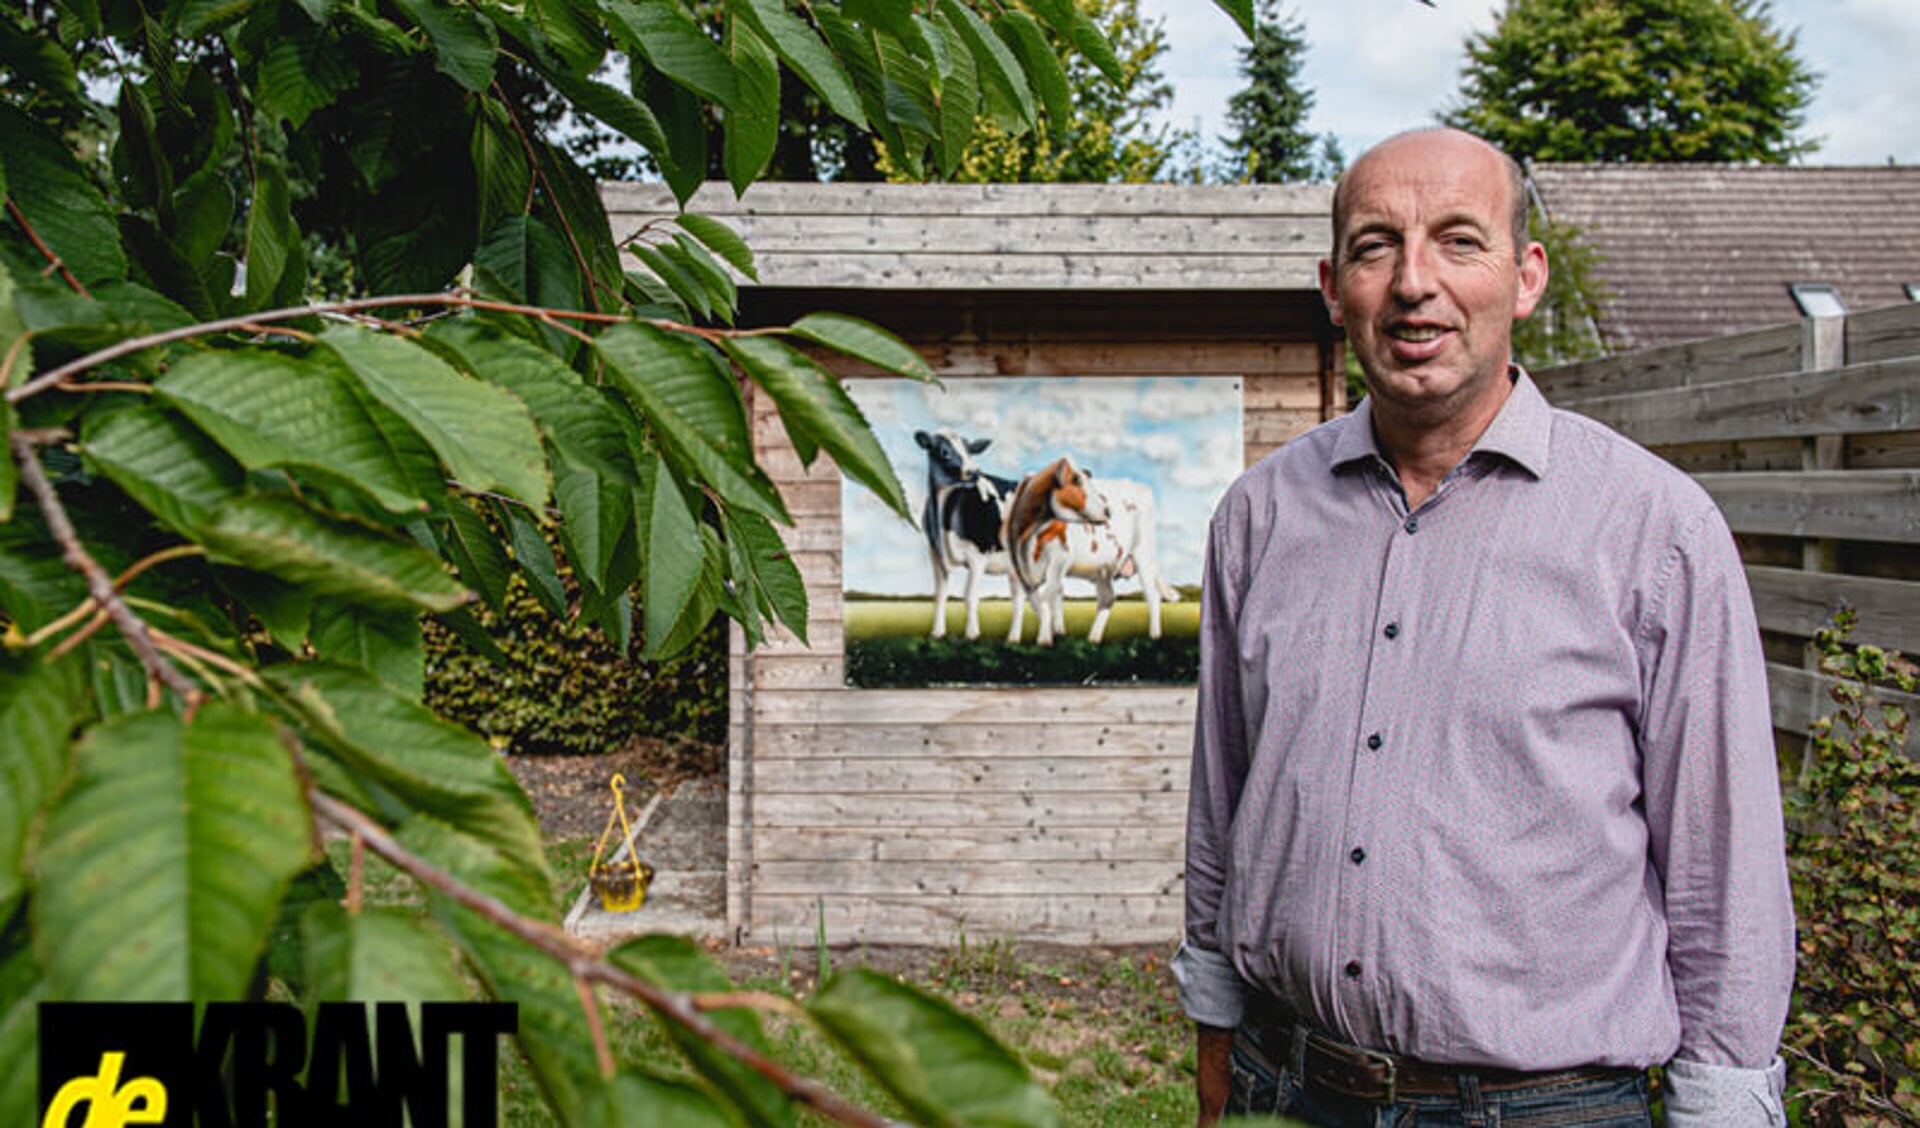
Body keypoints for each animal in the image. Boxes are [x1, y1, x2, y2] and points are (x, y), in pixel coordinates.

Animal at [917, 427, 1029, 640]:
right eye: (944, 451)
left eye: (970, 451)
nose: (974, 472)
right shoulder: (935, 554)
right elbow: (940, 595)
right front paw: (937, 632)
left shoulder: (978, 556)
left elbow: (969, 596)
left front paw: (972, 633)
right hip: (1015, 567)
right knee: (1019, 598)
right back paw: (1013, 638)